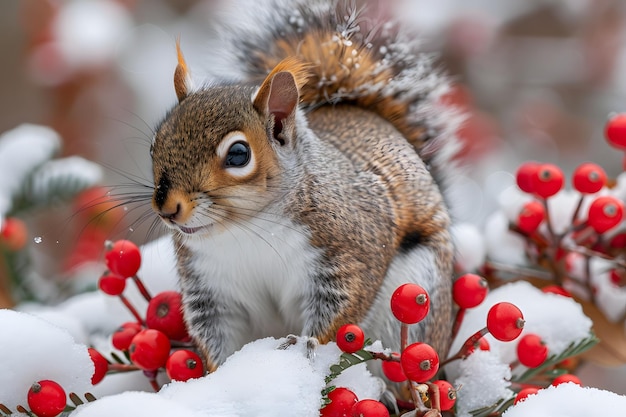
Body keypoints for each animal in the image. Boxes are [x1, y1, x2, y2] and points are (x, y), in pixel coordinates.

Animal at [149, 0, 456, 370]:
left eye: (238, 155)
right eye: (154, 145)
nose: (167, 208)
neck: (246, 229)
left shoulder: (350, 249)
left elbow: (343, 306)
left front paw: (306, 344)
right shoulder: (210, 286)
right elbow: (216, 334)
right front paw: (218, 373)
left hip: (417, 297)